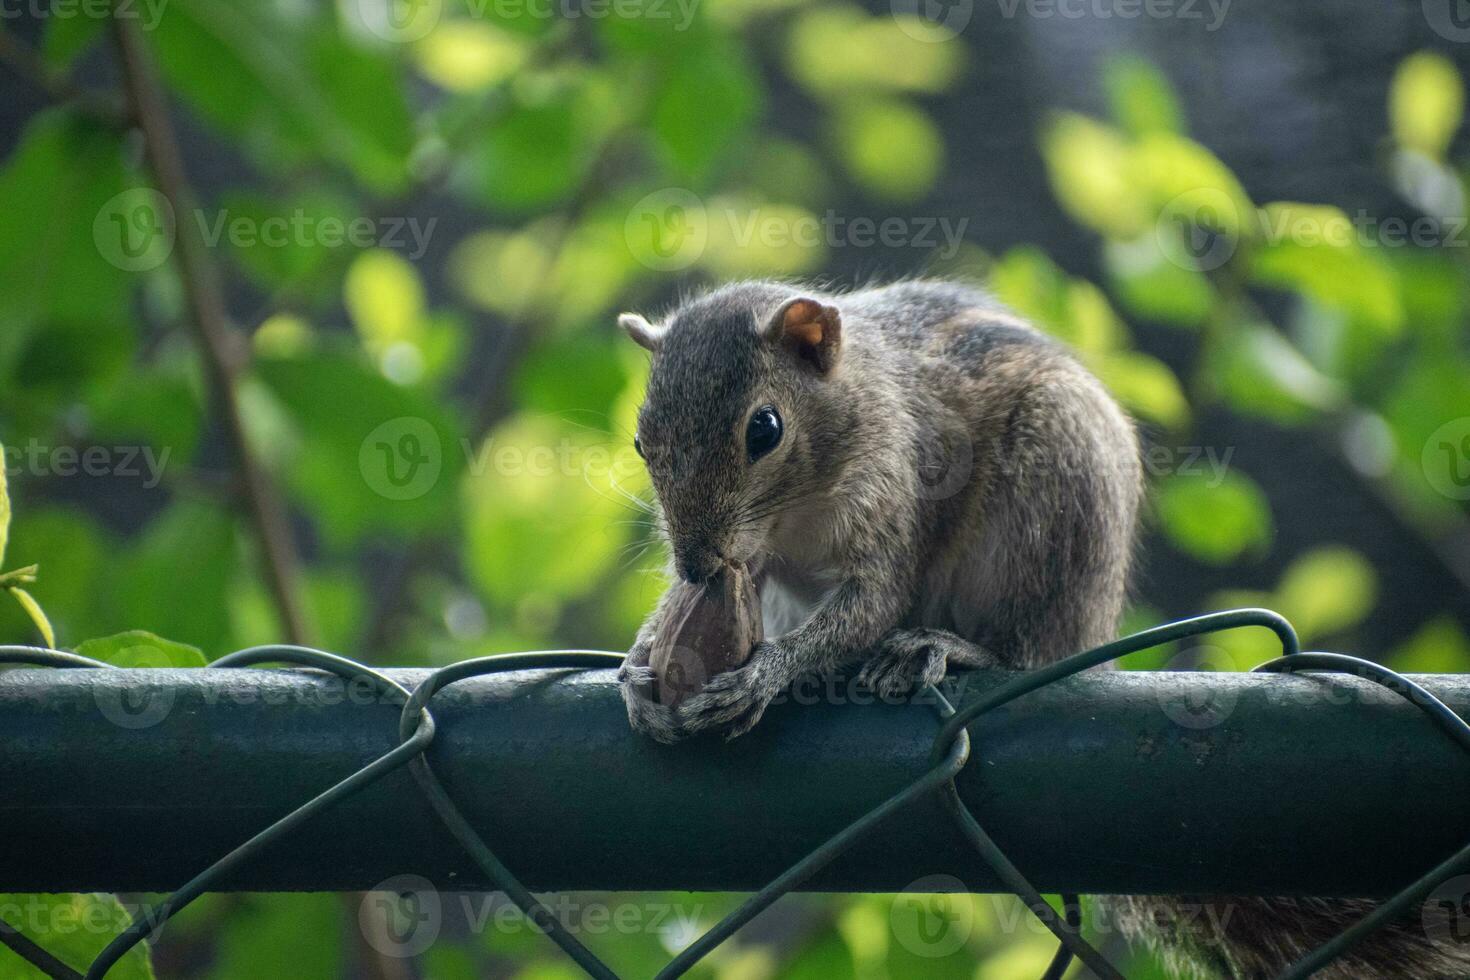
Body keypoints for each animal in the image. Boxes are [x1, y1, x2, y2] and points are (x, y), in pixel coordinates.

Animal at [611, 279, 1470, 975]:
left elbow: (866, 609)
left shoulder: (892, 493)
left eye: (765, 429)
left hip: (1054, 492)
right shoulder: (752, 567)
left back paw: (942, 650)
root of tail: (1091, 636)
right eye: (641, 439)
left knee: (1025, 655)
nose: (695, 563)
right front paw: (642, 665)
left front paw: (764, 673)